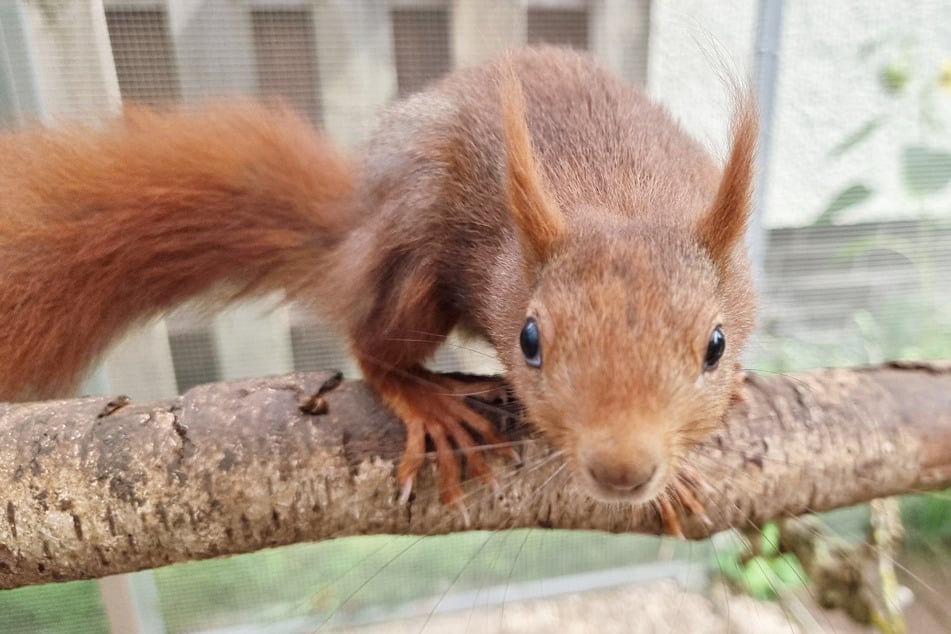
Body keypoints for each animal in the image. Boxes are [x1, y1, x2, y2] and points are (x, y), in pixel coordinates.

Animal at [0, 47, 760, 516]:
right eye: (529, 340)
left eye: (716, 346)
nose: (620, 470)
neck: (622, 204)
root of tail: (360, 233)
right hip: (413, 265)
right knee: (373, 347)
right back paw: (427, 400)